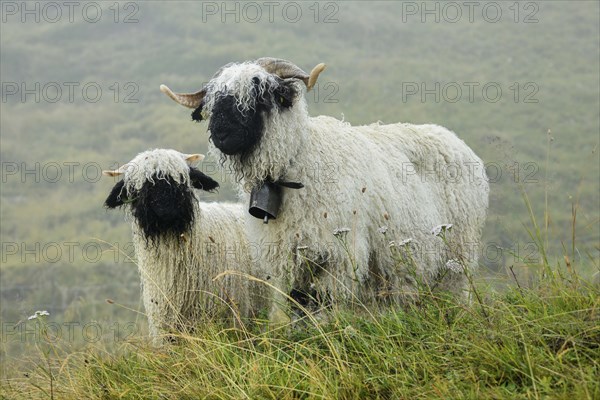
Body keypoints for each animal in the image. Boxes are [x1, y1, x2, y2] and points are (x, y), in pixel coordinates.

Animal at [159, 57, 488, 320]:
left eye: (261, 96)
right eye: (213, 104)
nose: (221, 133)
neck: (297, 164)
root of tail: (452, 138)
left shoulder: (340, 255)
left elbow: (331, 310)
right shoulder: (283, 259)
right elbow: (284, 312)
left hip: (459, 255)